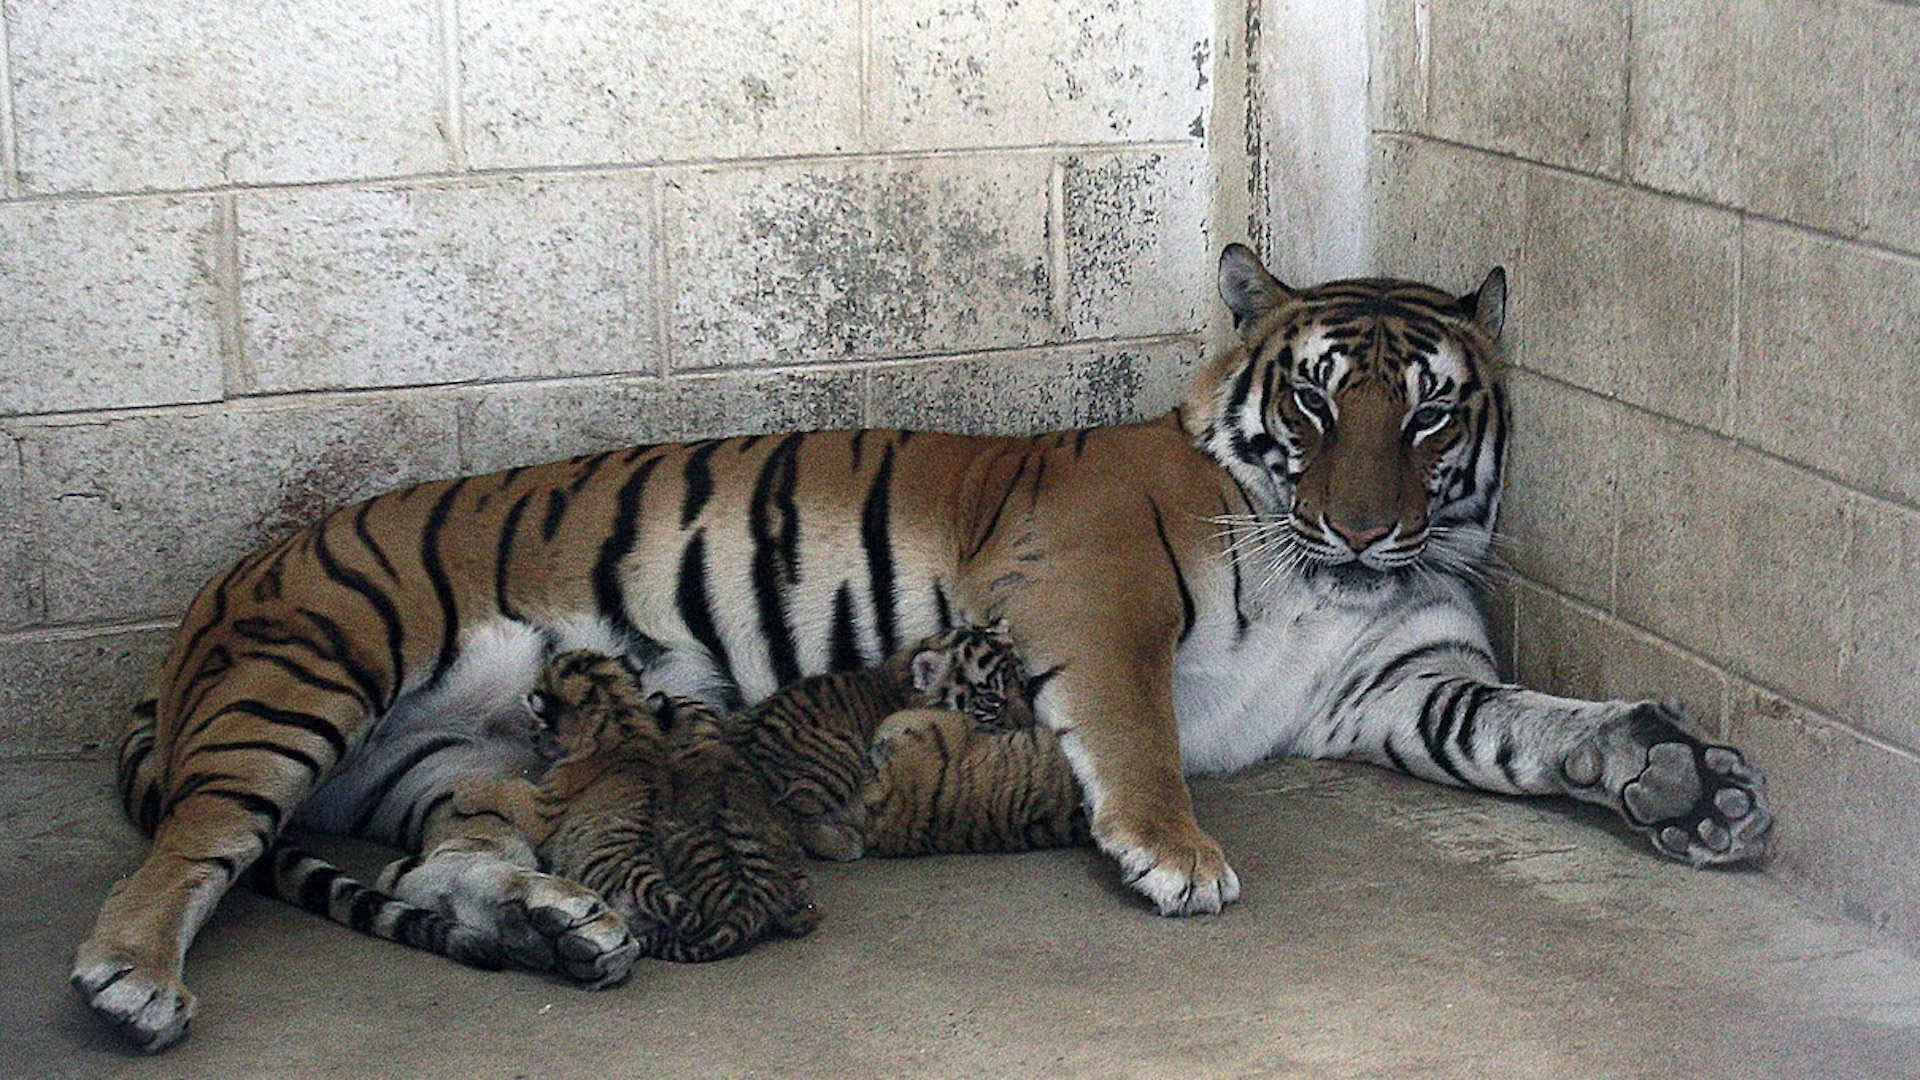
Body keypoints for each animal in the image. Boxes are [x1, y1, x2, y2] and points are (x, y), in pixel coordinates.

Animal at [74, 245, 1773, 1052]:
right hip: (307, 675)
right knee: (189, 847)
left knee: (446, 868)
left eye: (1426, 415)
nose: (1365, 529)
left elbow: (1539, 727)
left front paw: (1683, 784)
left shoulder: (1404, 687)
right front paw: (1174, 853)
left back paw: (563, 932)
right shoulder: (1092, 581)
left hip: (467, 762)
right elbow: (1139, 724)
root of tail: (192, 633)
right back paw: (131, 982)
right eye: (1313, 401)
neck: (1332, 586)